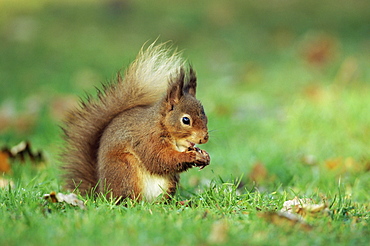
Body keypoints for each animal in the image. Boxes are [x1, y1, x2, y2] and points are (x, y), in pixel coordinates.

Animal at [62, 43, 210, 202]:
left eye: (205, 117)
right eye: (186, 120)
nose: (204, 138)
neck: (161, 124)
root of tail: (102, 193)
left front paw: (204, 155)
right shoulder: (148, 139)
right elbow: (159, 158)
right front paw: (191, 156)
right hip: (126, 170)